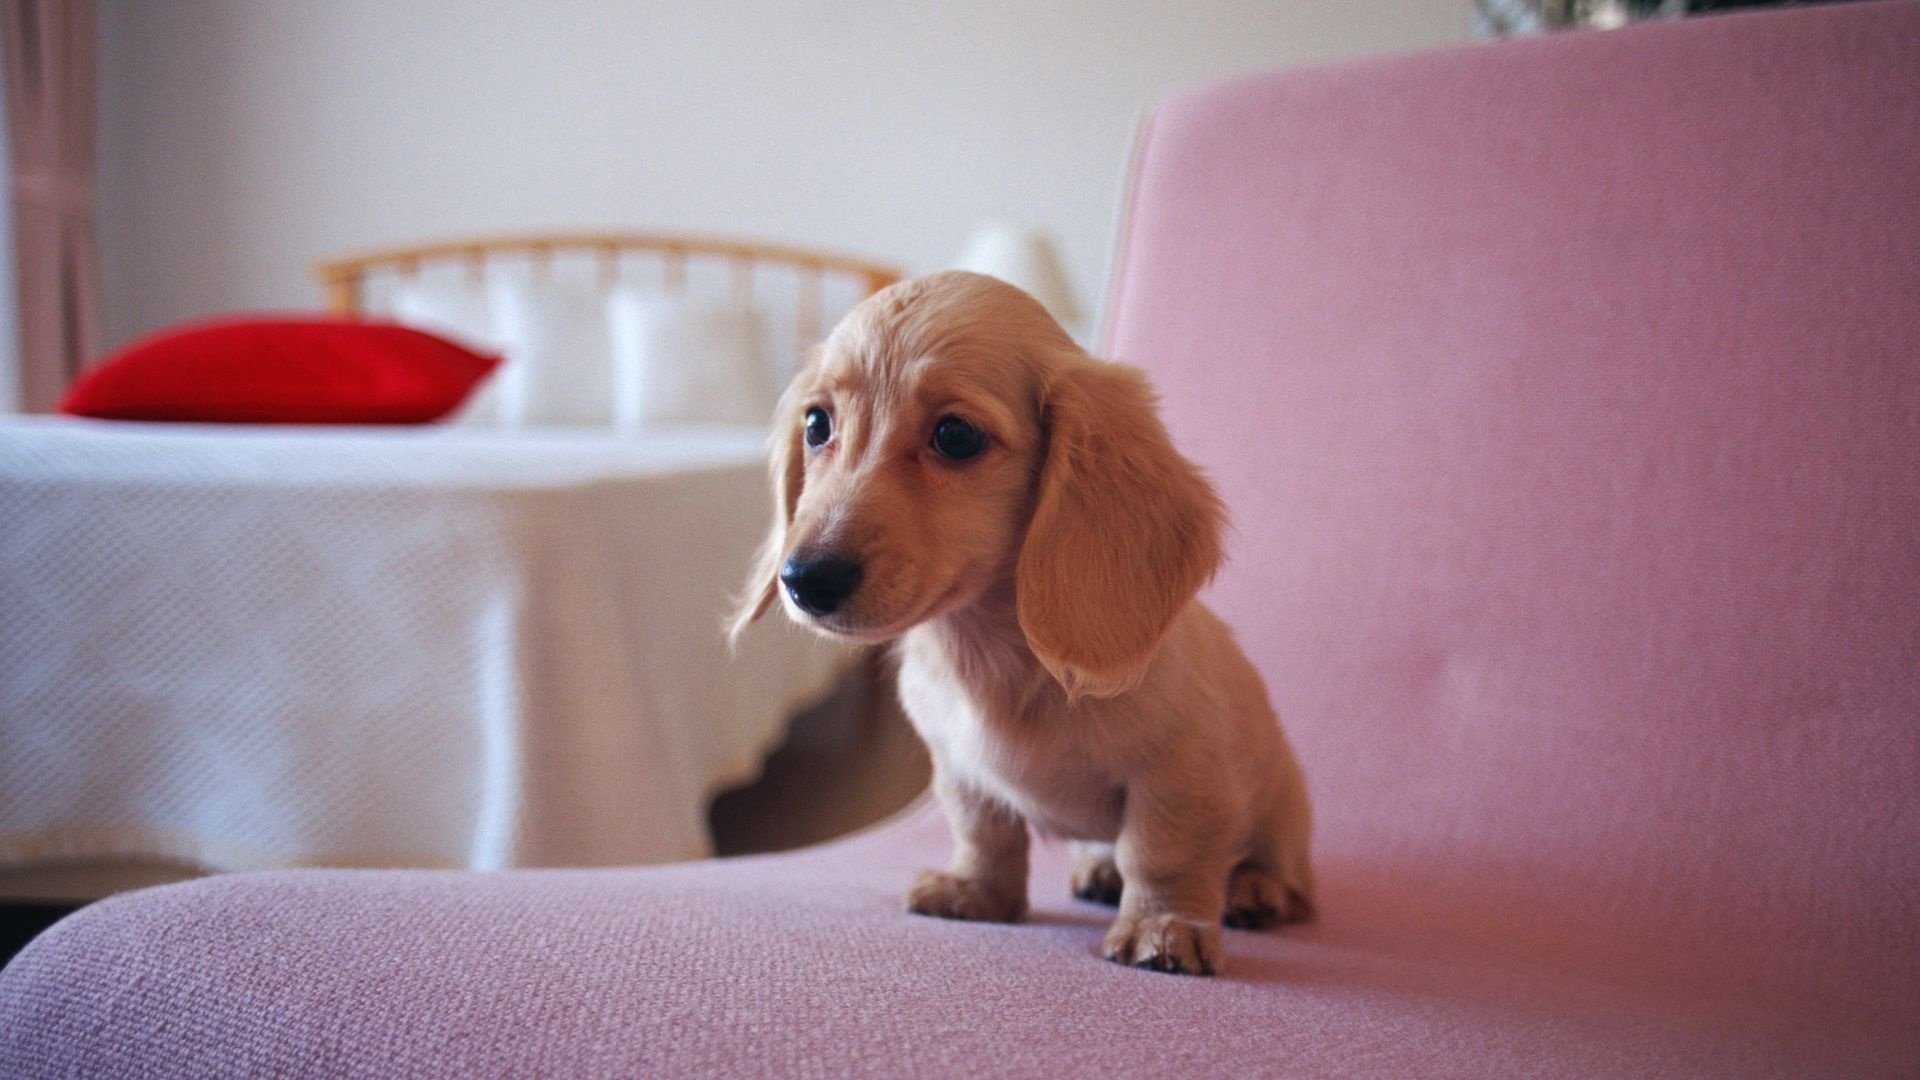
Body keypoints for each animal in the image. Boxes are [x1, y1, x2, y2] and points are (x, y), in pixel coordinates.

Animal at [725, 270, 1313, 976]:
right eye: (816, 424)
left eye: (956, 436)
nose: (805, 580)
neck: (992, 654)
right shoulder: (961, 771)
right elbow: (985, 835)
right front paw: (976, 893)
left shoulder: (1181, 772)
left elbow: (1162, 852)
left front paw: (1164, 925)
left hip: (1284, 806)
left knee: (1279, 868)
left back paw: (1256, 889)